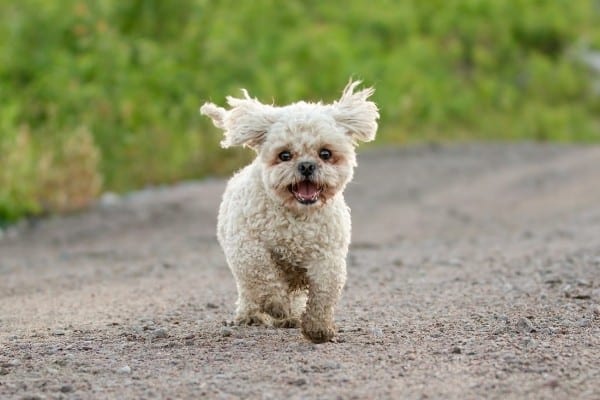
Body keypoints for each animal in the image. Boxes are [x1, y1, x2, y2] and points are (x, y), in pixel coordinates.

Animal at [202, 81, 380, 344]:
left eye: (325, 153)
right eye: (284, 155)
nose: (306, 166)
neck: (297, 217)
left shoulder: (327, 257)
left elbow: (324, 293)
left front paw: (318, 328)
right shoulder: (246, 246)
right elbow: (262, 272)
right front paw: (276, 304)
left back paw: (291, 317)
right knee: (249, 289)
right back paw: (252, 315)